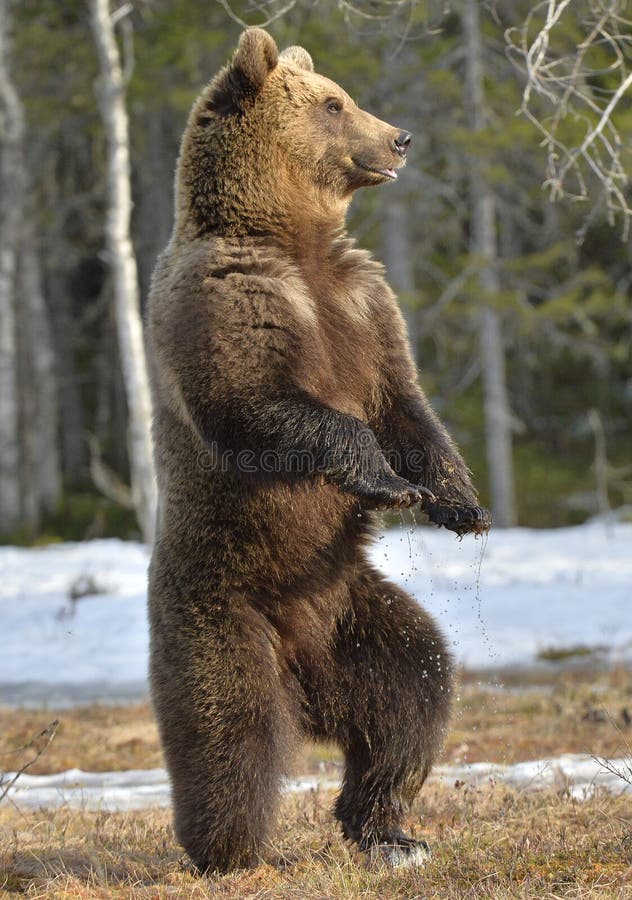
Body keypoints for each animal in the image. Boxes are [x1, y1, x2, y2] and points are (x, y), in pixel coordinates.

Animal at [146, 27, 490, 874]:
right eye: (335, 103)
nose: (399, 136)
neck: (292, 240)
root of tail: (305, 687)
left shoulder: (365, 305)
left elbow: (407, 405)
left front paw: (458, 503)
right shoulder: (229, 299)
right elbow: (259, 403)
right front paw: (385, 482)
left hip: (352, 612)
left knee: (414, 691)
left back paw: (391, 830)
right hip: (221, 611)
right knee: (228, 734)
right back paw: (230, 850)